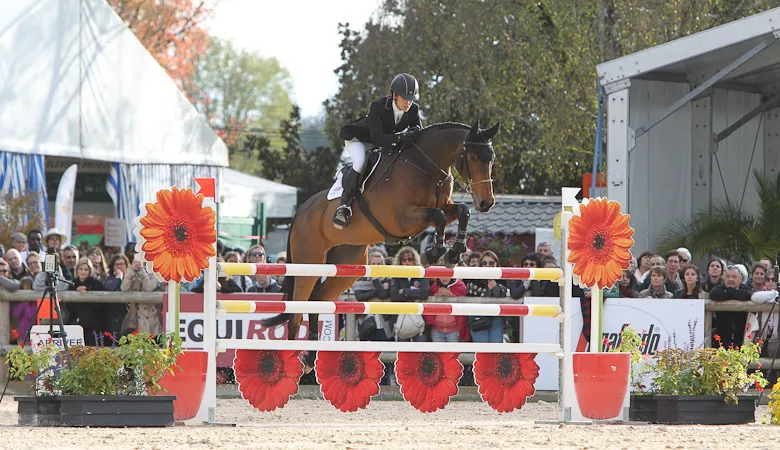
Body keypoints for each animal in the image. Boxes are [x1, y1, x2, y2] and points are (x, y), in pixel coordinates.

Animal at [262, 120, 500, 368]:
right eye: (472, 157)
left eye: (491, 158)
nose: (486, 202)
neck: (426, 167)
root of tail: (301, 212)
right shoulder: (402, 219)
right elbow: (438, 216)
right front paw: (434, 253)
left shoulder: (443, 207)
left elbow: (461, 211)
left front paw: (454, 253)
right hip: (308, 264)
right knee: (296, 311)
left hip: (347, 267)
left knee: (316, 300)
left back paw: (309, 357)